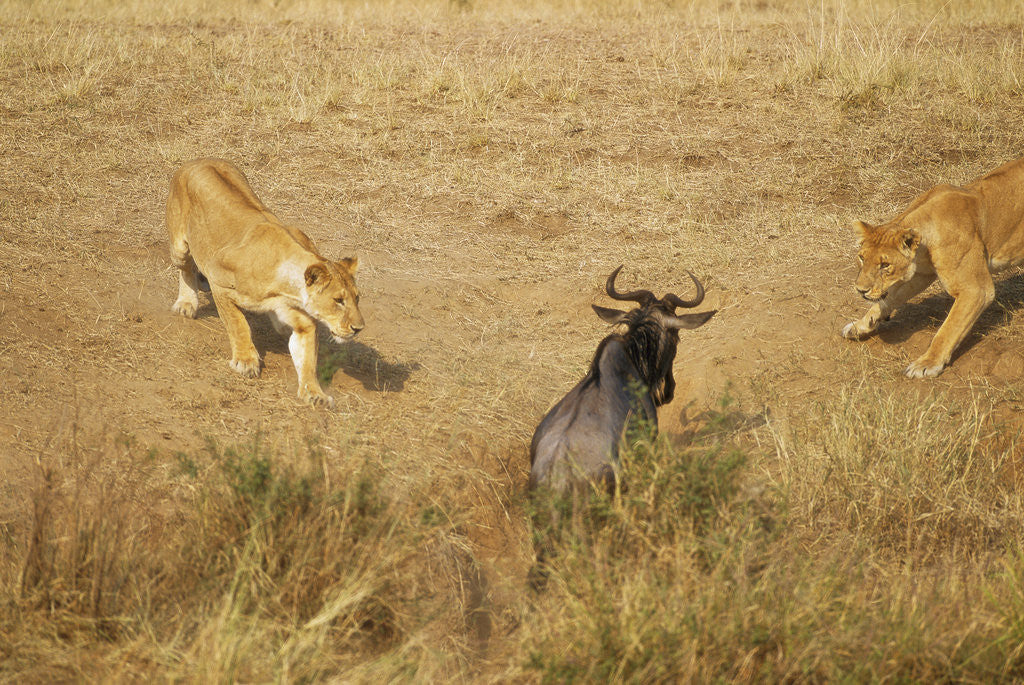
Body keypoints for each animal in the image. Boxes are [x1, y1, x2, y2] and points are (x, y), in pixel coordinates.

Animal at [166, 158, 364, 407]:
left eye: (357, 298)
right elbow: (239, 324)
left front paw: (314, 393)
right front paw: (246, 360)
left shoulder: (303, 321)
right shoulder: (220, 282)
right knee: (186, 268)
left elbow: (307, 359)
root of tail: (198, 160)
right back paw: (187, 303)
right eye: (338, 300)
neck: (287, 287)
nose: (358, 328)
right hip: (179, 247)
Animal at [842, 156, 1024, 378]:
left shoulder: (976, 290)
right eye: (861, 258)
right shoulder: (920, 274)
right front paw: (861, 325)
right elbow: (888, 299)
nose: (860, 290)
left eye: (885, 265)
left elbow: (947, 330)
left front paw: (927, 363)